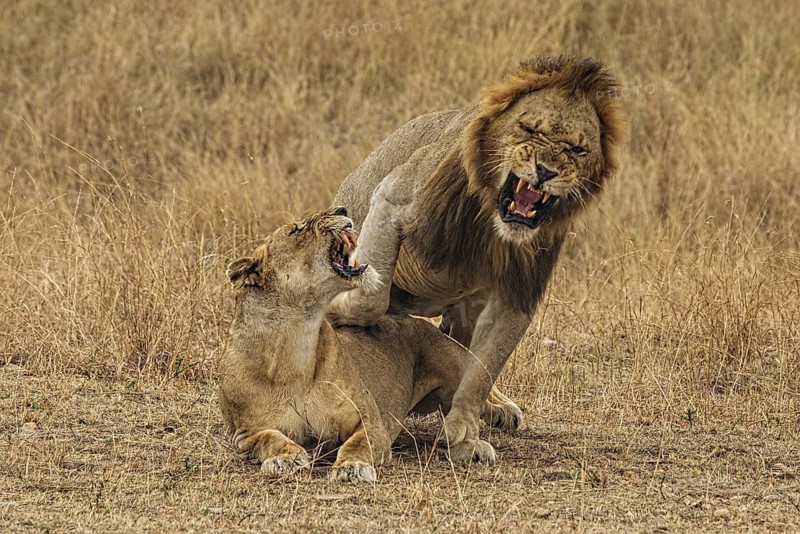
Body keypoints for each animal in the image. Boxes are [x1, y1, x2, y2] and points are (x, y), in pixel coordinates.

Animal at [218, 207, 492, 483]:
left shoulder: (371, 422)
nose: (341, 210)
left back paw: (481, 441)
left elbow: (359, 444)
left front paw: (352, 468)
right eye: (297, 229)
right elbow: (270, 438)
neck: (295, 343)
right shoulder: (244, 433)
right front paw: (285, 458)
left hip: (456, 369)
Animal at [327, 56, 625, 463]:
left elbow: (483, 369)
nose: (545, 171)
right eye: (530, 128)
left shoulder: (518, 291)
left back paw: (496, 406)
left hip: (467, 306)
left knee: (461, 347)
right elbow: (372, 298)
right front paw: (333, 308)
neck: (491, 220)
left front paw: (464, 435)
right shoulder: (393, 200)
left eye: (577, 150)